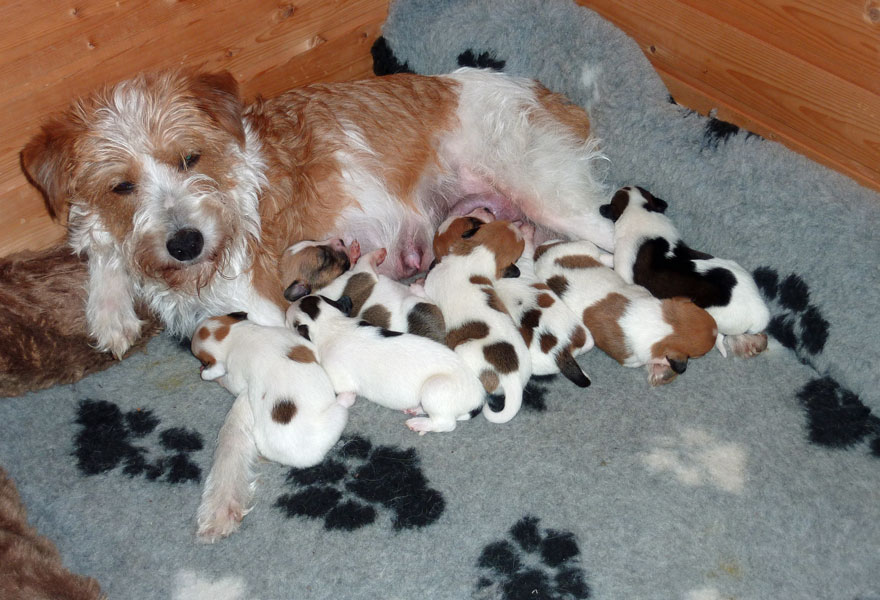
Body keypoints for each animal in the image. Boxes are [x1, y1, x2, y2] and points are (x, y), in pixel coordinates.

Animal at [280, 240, 446, 344]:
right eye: (325, 258)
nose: (340, 240)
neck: (323, 287)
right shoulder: (365, 271)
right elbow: (366, 258)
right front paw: (379, 253)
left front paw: (353, 251)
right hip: (416, 304)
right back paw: (418, 285)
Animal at [285, 295, 484, 434]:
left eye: (288, 322)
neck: (331, 323)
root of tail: (479, 398)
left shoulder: (338, 379)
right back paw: (416, 409)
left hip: (435, 389)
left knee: (446, 423)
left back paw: (420, 423)